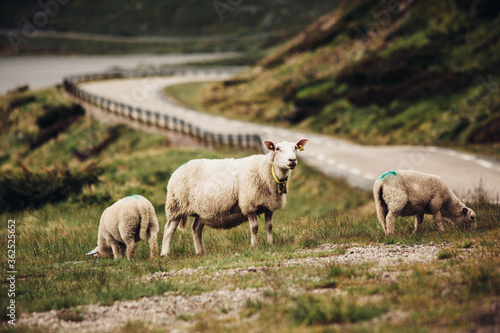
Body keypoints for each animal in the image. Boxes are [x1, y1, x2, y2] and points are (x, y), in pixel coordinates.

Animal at [160, 137, 308, 254]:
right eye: (277, 149)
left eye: (295, 147)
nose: (292, 160)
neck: (266, 171)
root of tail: (178, 170)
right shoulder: (249, 204)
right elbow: (254, 227)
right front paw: (255, 245)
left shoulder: (269, 205)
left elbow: (269, 226)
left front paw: (270, 243)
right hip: (177, 205)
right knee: (169, 230)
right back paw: (165, 253)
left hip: (202, 210)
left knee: (196, 229)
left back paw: (200, 251)